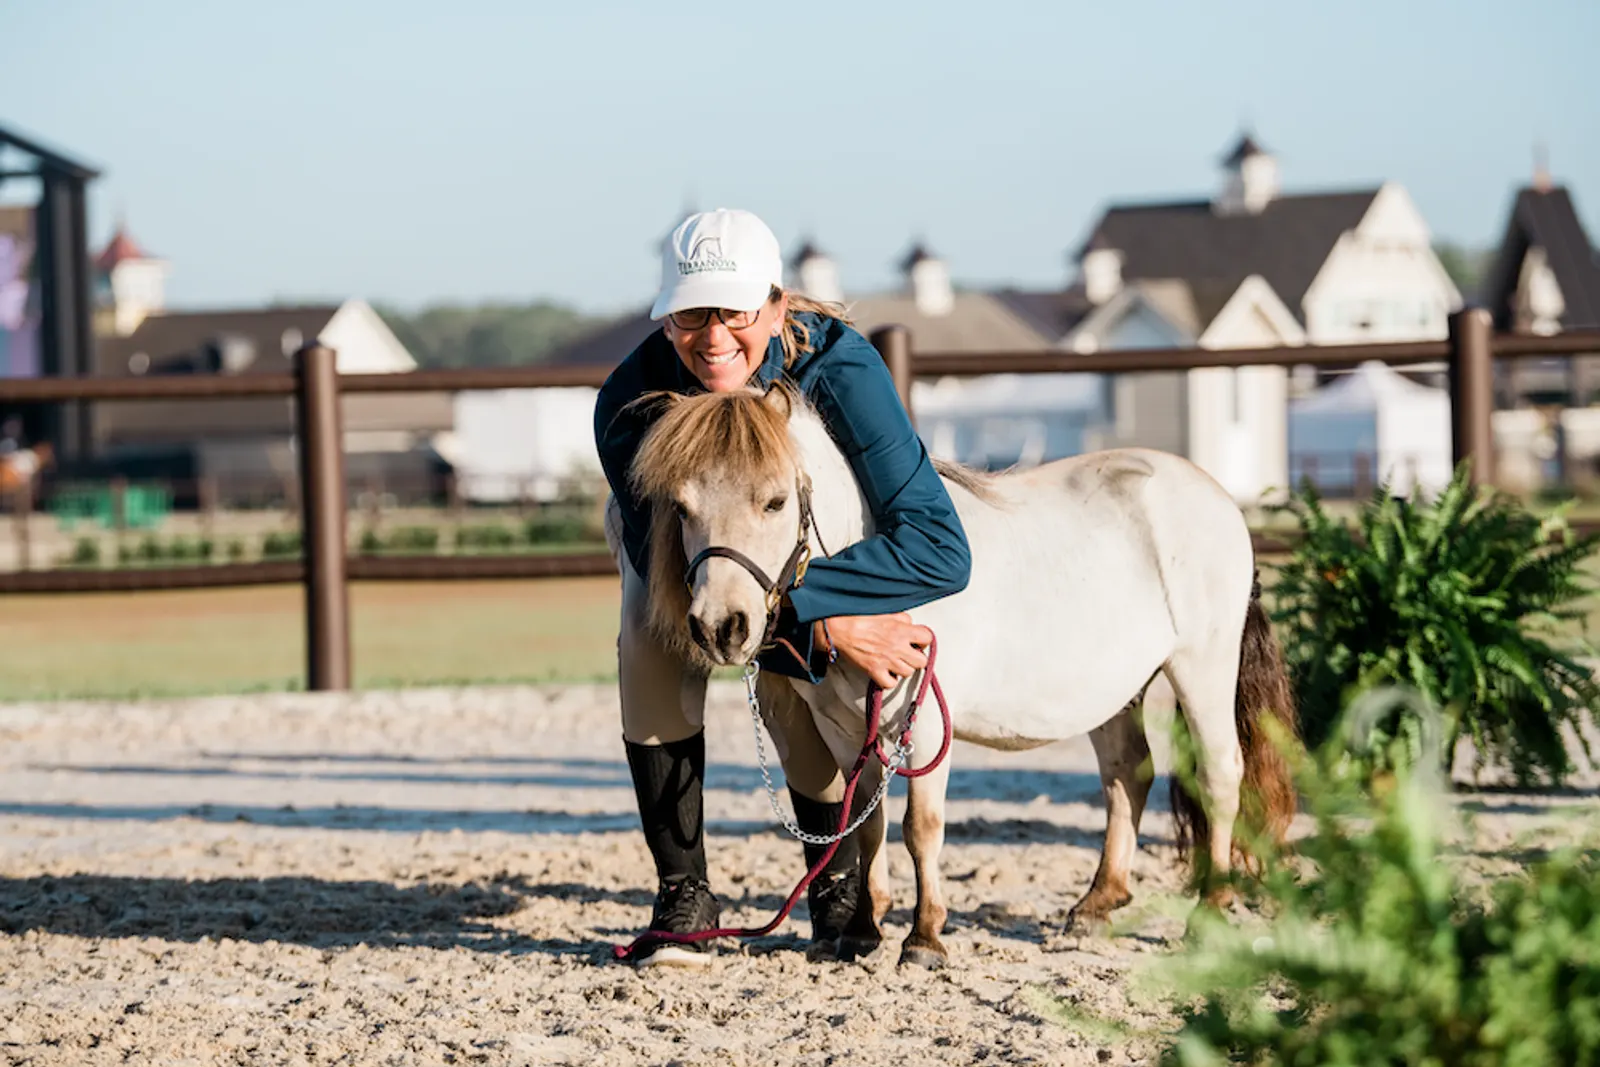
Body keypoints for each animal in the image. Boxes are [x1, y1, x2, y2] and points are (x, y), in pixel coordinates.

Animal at [623, 381, 1300, 969]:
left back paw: (1210, 909)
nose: (721, 626)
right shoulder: (846, 731)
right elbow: (864, 824)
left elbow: (920, 828)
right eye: (681, 507)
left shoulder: (922, 728)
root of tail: (1219, 499)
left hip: (1202, 665)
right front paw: (863, 930)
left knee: (1220, 773)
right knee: (1128, 776)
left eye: (775, 501)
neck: (886, 578)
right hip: (1114, 693)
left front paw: (923, 937)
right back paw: (1096, 904)